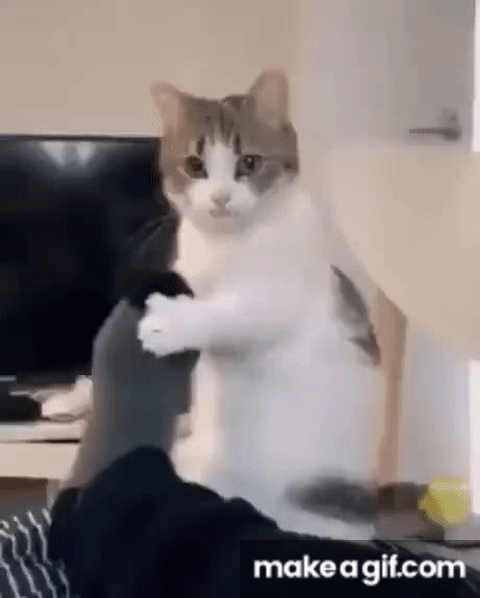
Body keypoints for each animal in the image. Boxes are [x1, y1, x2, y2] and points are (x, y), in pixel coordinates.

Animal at [138, 68, 382, 540]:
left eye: (248, 163)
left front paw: (170, 324)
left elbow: (231, 314)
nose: (220, 198)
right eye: (195, 165)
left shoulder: (276, 296)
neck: (228, 248)